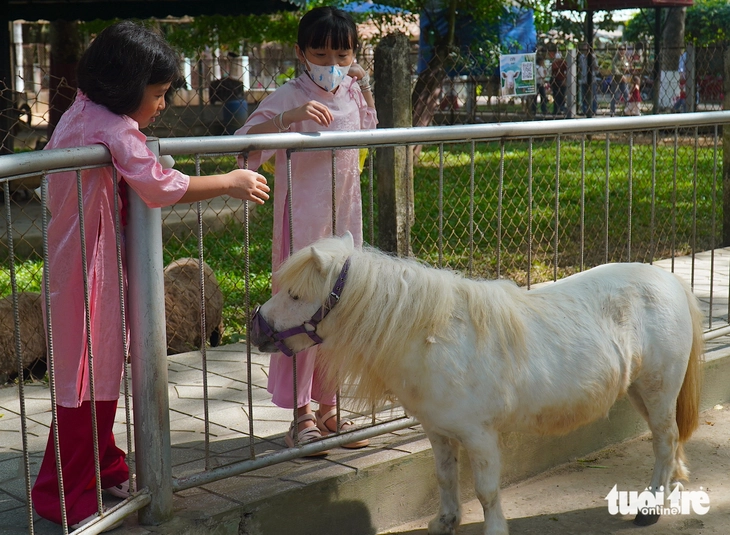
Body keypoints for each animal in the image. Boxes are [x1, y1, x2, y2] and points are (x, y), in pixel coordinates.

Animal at [250, 232, 704, 535]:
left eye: (295, 296)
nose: (256, 328)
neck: (431, 336)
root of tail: (671, 281)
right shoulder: (438, 432)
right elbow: (445, 478)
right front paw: (445, 521)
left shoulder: (480, 436)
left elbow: (486, 491)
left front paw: (494, 529)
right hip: (639, 391)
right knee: (668, 442)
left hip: (658, 390)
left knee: (664, 440)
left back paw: (651, 507)